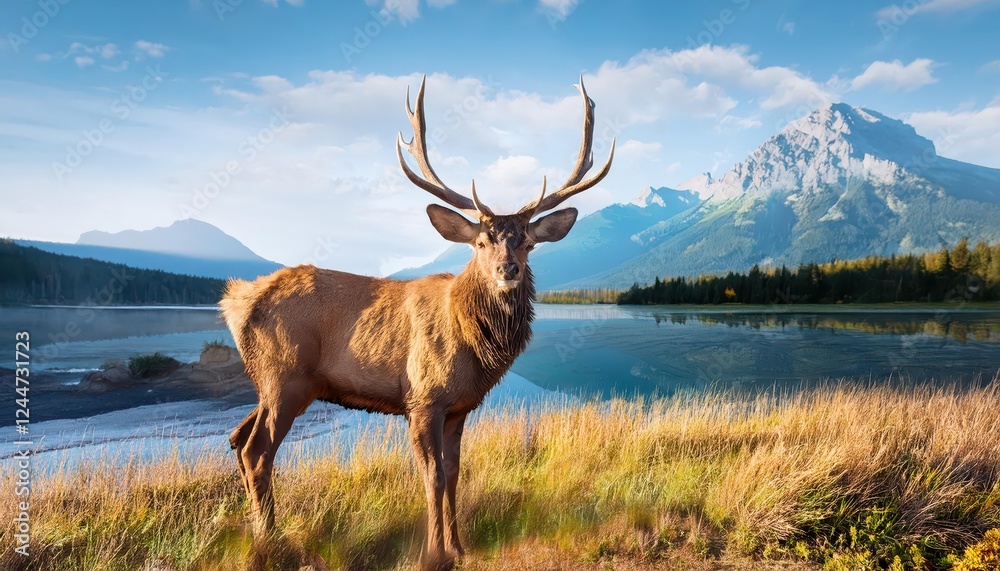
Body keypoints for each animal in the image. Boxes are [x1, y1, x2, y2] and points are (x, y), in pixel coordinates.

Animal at [220, 75, 613, 571]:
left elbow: (455, 472)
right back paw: (270, 543)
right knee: (257, 451)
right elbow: (432, 476)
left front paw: (460, 548)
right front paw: (433, 553)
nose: (508, 269)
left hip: (277, 383)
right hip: (284, 377)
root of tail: (234, 301)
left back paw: (258, 531)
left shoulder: (460, 407)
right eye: (482, 242)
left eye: (527, 243)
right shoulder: (423, 397)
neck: (475, 348)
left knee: (237, 439)